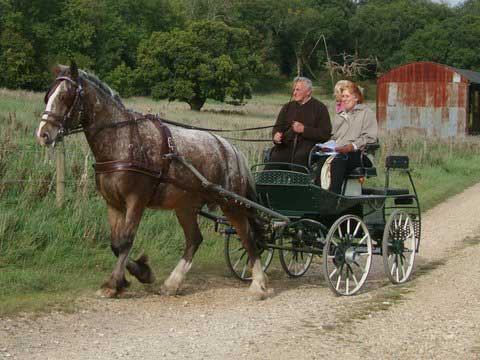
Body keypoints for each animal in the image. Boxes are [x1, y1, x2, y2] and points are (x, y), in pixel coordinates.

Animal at [36, 63, 270, 300]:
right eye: (47, 96)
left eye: (65, 96)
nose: (43, 134)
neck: (124, 139)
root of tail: (231, 149)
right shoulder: (113, 203)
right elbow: (115, 244)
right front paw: (141, 273)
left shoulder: (136, 201)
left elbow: (125, 241)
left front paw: (114, 284)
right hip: (185, 206)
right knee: (194, 240)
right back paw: (172, 284)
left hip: (231, 204)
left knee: (248, 238)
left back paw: (258, 284)